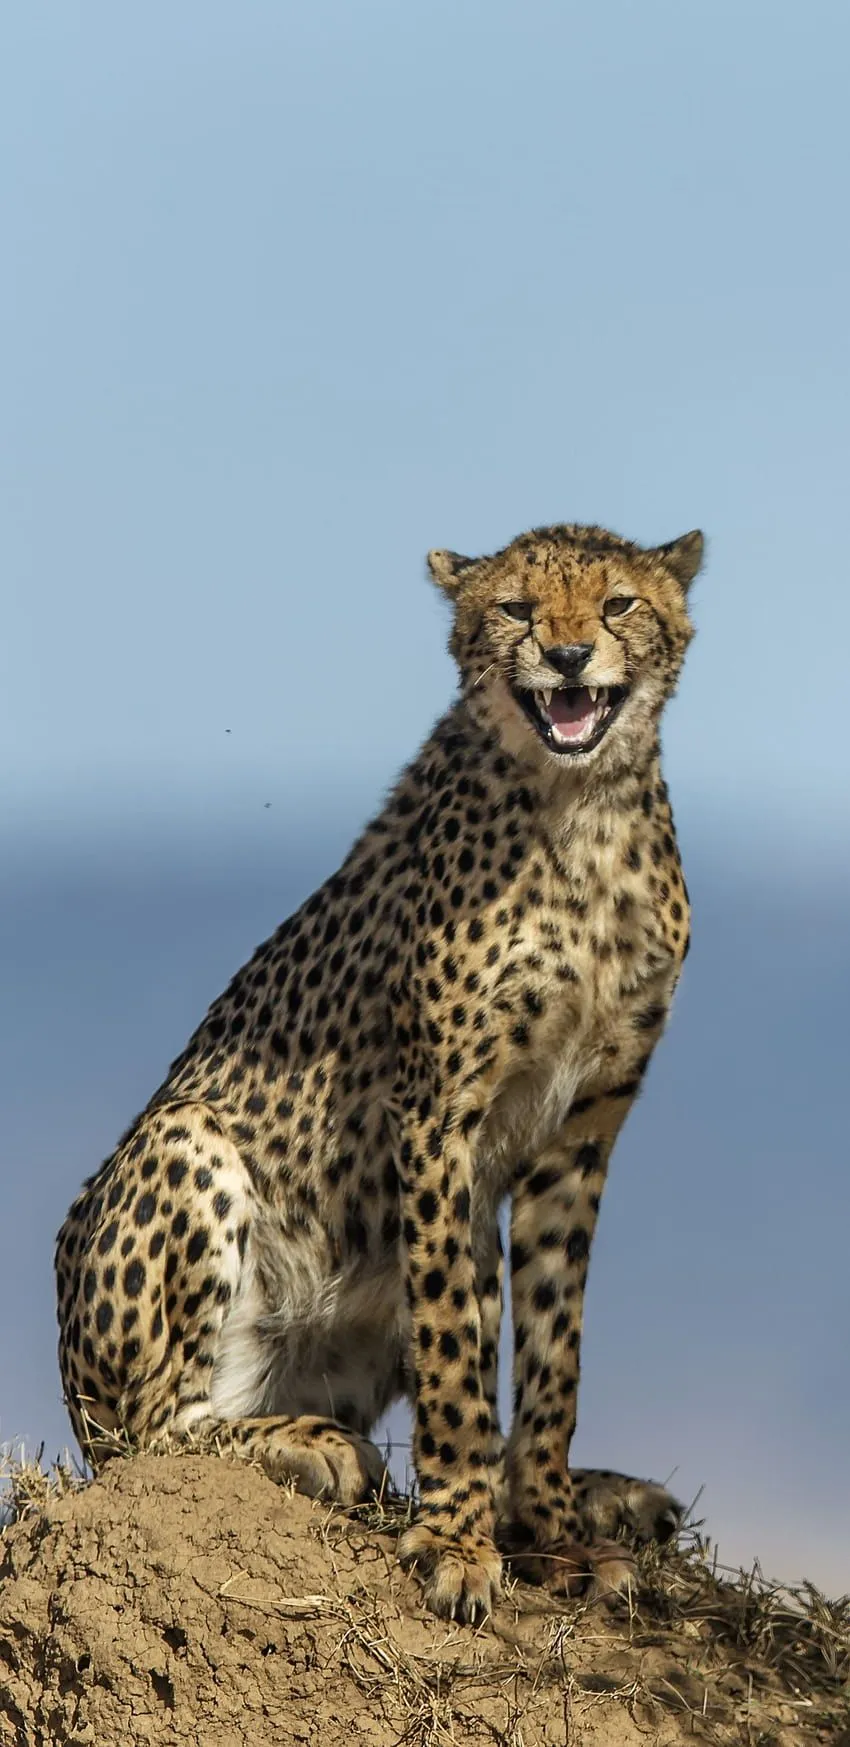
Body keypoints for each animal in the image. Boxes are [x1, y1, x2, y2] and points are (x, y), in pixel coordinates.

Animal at [55, 519, 704, 1622]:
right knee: (157, 1432)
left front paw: (553, 1533)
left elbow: (552, 1351)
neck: (581, 809)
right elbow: (448, 1343)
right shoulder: (438, 1112)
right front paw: (457, 1540)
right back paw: (311, 1447)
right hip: (184, 1148)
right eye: (517, 608)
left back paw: (597, 1492)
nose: (569, 655)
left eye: (618, 603)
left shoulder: (582, 1129)